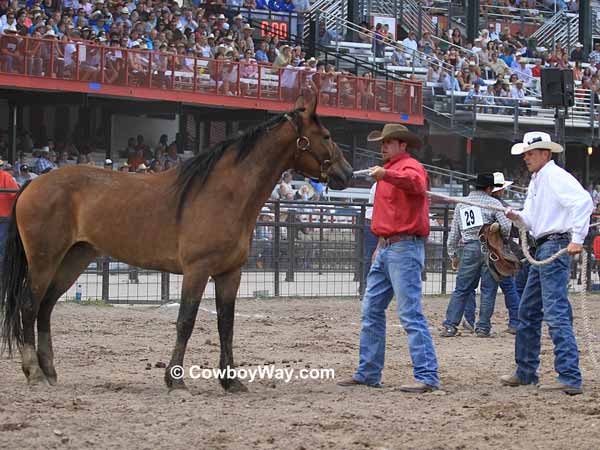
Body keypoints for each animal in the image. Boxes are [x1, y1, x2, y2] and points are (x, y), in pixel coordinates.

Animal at [0, 96, 354, 392]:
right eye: (326, 136)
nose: (347, 173)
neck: (224, 193)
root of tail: (34, 183)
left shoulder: (230, 273)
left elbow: (226, 324)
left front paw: (231, 381)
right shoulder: (197, 270)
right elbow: (186, 321)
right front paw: (175, 380)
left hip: (73, 259)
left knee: (45, 308)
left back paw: (49, 372)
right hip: (45, 260)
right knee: (30, 306)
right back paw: (34, 373)